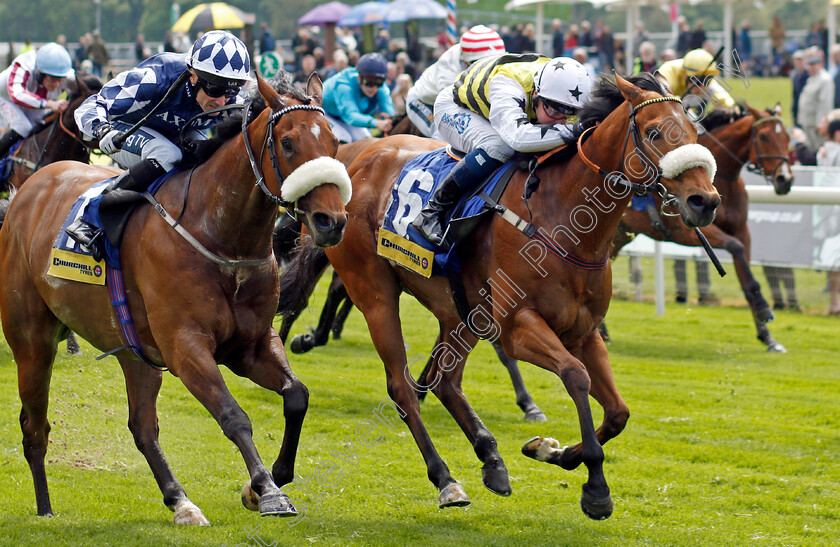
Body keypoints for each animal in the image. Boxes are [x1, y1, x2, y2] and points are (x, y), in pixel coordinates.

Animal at [0, 75, 350, 524]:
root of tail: (26, 193)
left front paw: (269, 480)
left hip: (135, 353)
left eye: (335, 141)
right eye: (288, 143)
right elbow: (234, 416)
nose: (331, 221)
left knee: (142, 427)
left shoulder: (251, 345)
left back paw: (180, 500)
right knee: (34, 426)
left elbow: (297, 396)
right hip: (33, 342)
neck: (220, 236)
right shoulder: (186, 347)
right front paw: (268, 491)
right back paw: (45, 508)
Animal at [282, 74, 720, 520]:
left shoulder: (584, 332)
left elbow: (618, 412)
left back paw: (491, 458)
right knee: (402, 387)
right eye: (654, 132)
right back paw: (446, 479)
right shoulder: (518, 327)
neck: (563, 219)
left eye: (695, 130)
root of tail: (355, 161)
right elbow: (575, 376)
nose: (705, 201)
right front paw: (596, 487)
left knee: (446, 383)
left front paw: (554, 452)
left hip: (459, 311)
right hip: (374, 292)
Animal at [612, 104, 796, 352]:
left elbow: (747, 277)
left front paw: (767, 336)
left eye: (786, 137)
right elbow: (734, 247)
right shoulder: (685, 231)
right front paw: (763, 309)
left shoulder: (742, 230)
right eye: (764, 136)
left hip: (620, 233)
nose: (785, 179)